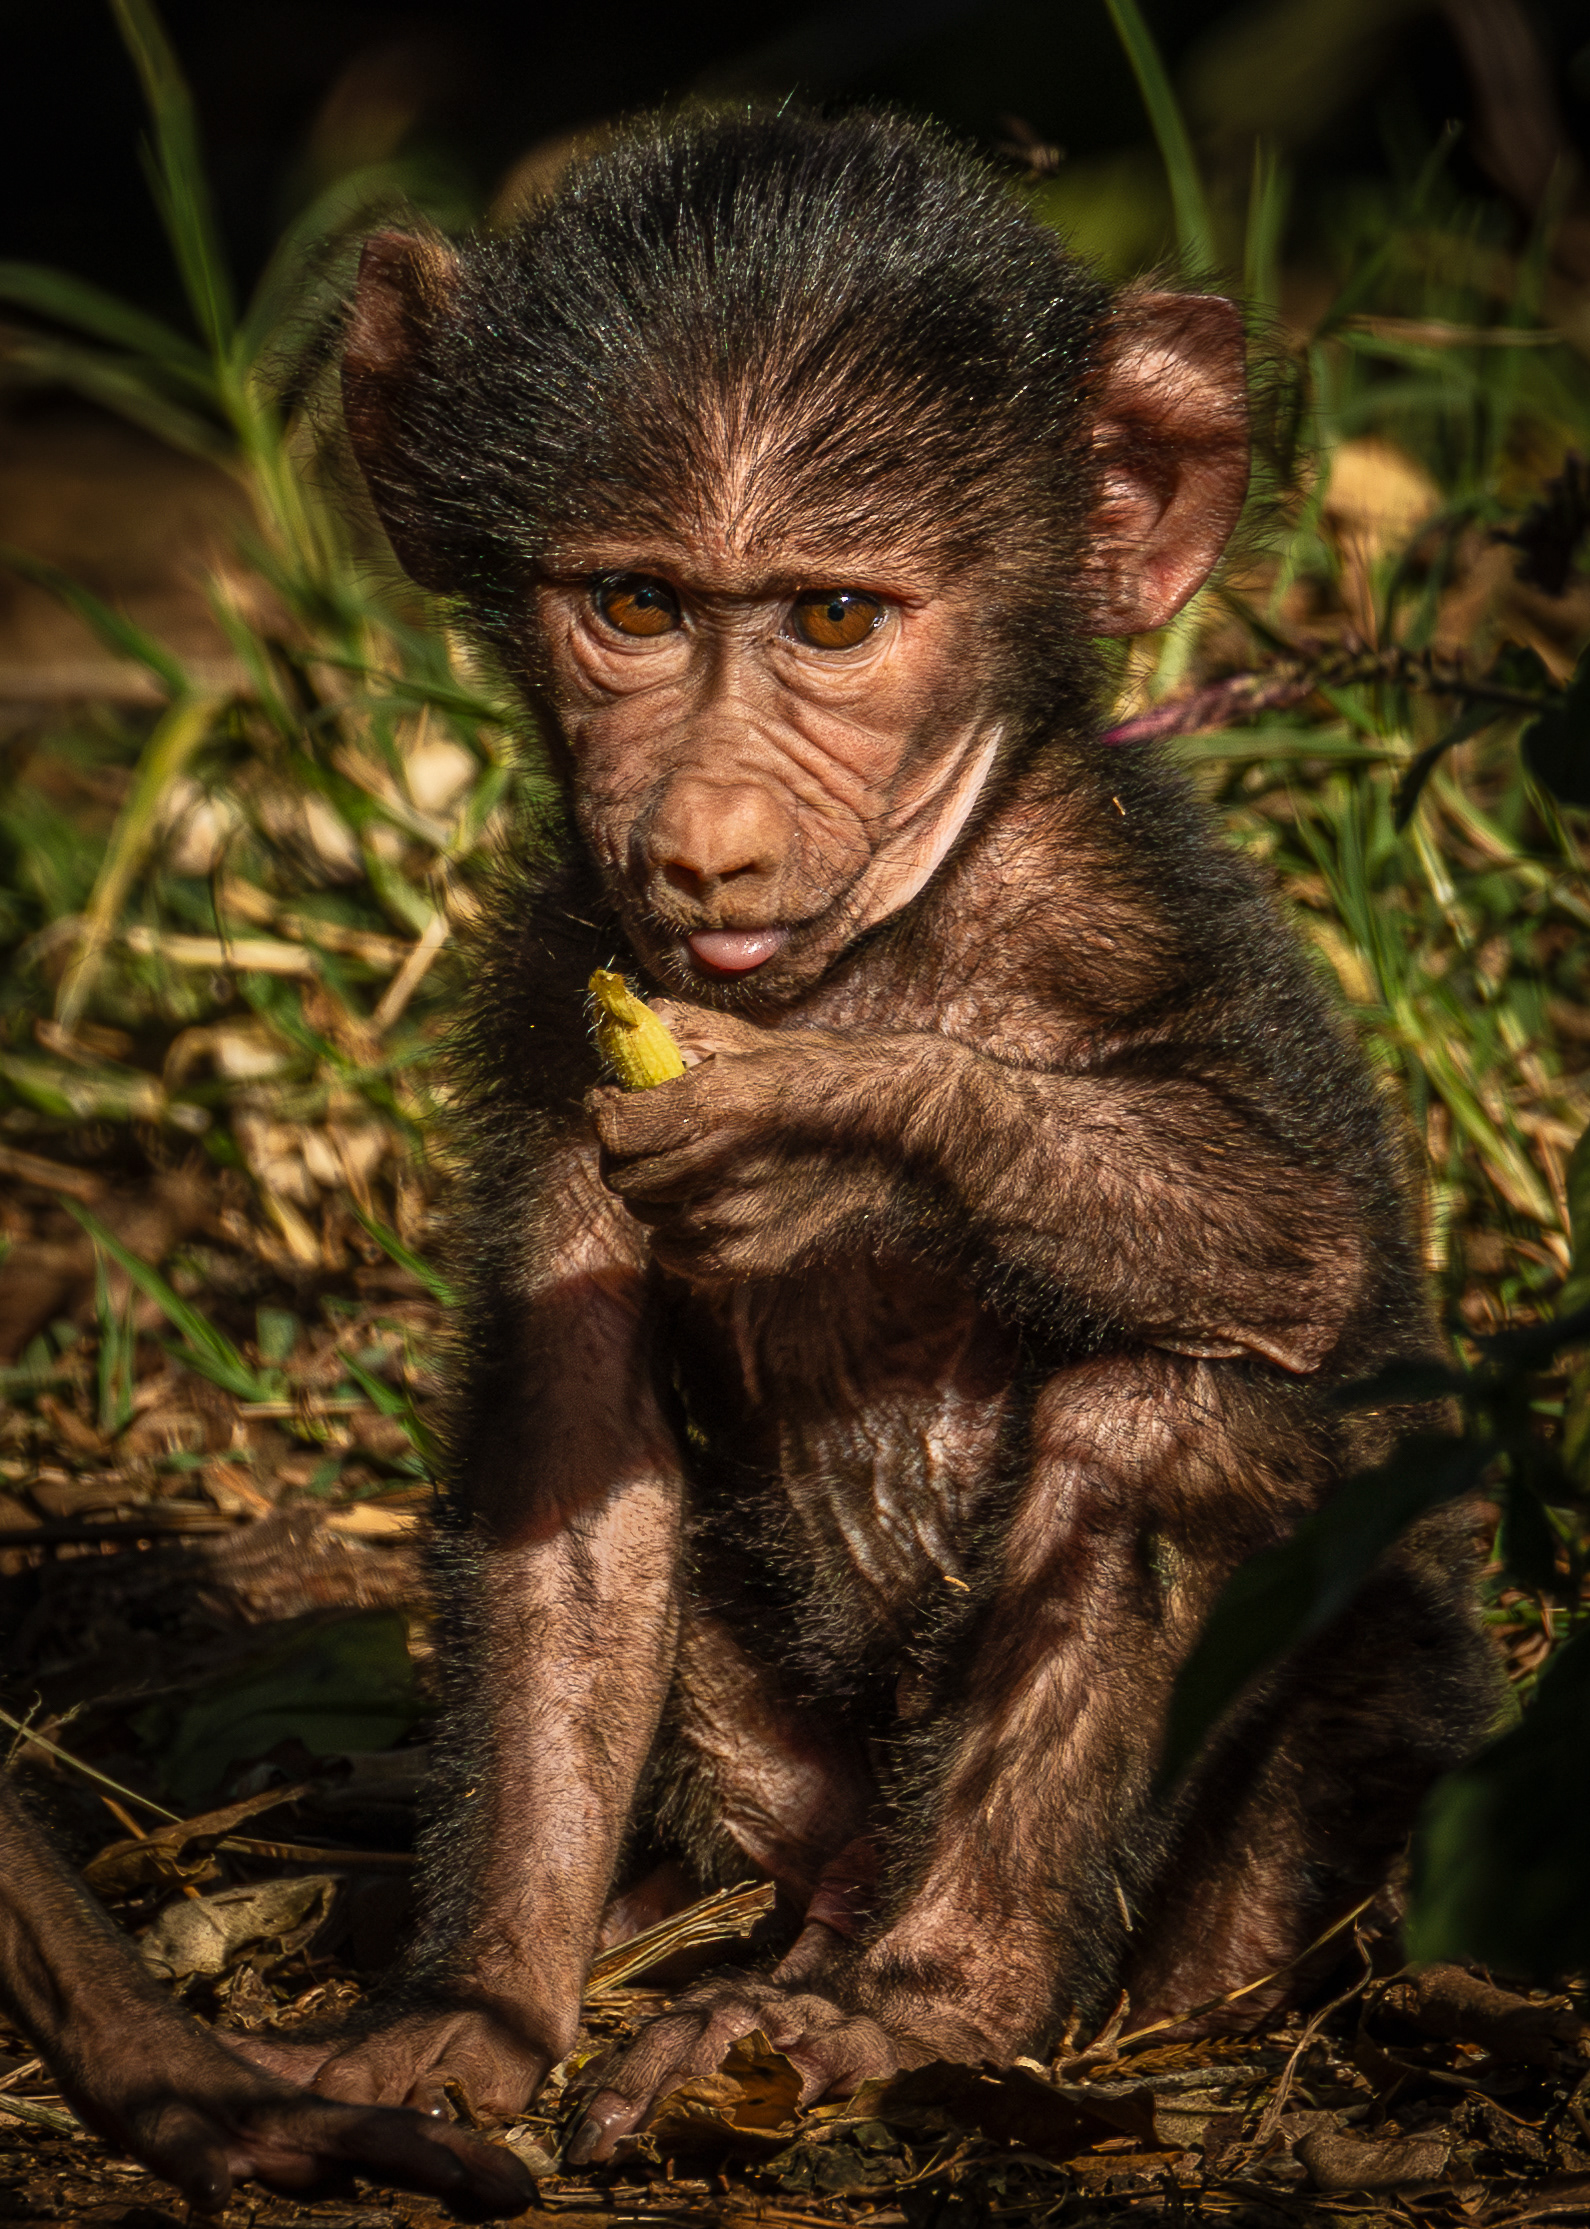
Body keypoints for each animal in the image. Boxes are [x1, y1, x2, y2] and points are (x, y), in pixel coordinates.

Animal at [233, 107, 1498, 2159]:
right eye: (638, 607)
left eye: (834, 616)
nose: (707, 835)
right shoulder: (553, 988)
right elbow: (572, 1467)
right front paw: (472, 2000)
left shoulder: (1124, 907)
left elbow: (1302, 1239)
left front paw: (833, 1125)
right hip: (801, 1788)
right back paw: (696, 1927)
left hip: (1327, 1804)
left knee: (1171, 1399)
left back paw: (920, 2001)